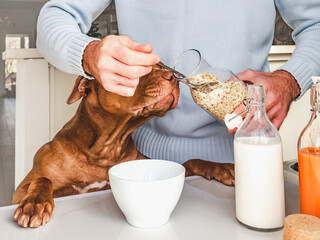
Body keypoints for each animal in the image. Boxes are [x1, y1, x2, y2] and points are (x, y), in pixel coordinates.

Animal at [12, 66, 234, 228]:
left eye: (162, 65)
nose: (174, 77)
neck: (105, 150)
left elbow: (190, 161)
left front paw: (221, 168)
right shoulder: (20, 191)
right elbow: (42, 179)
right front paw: (35, 204)